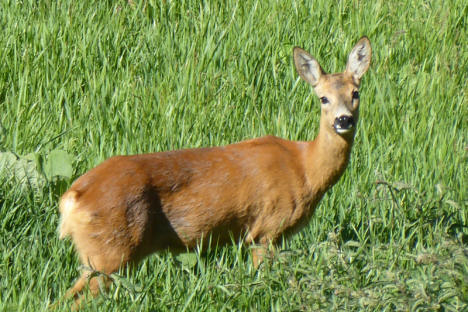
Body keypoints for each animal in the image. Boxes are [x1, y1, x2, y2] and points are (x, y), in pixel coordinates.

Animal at [59, 36, 372, 300]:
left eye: (356, 93)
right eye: (323, 98)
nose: (343, 120)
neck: (306, 168)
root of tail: (72, 198)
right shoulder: (265, 231)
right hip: (110, 251)